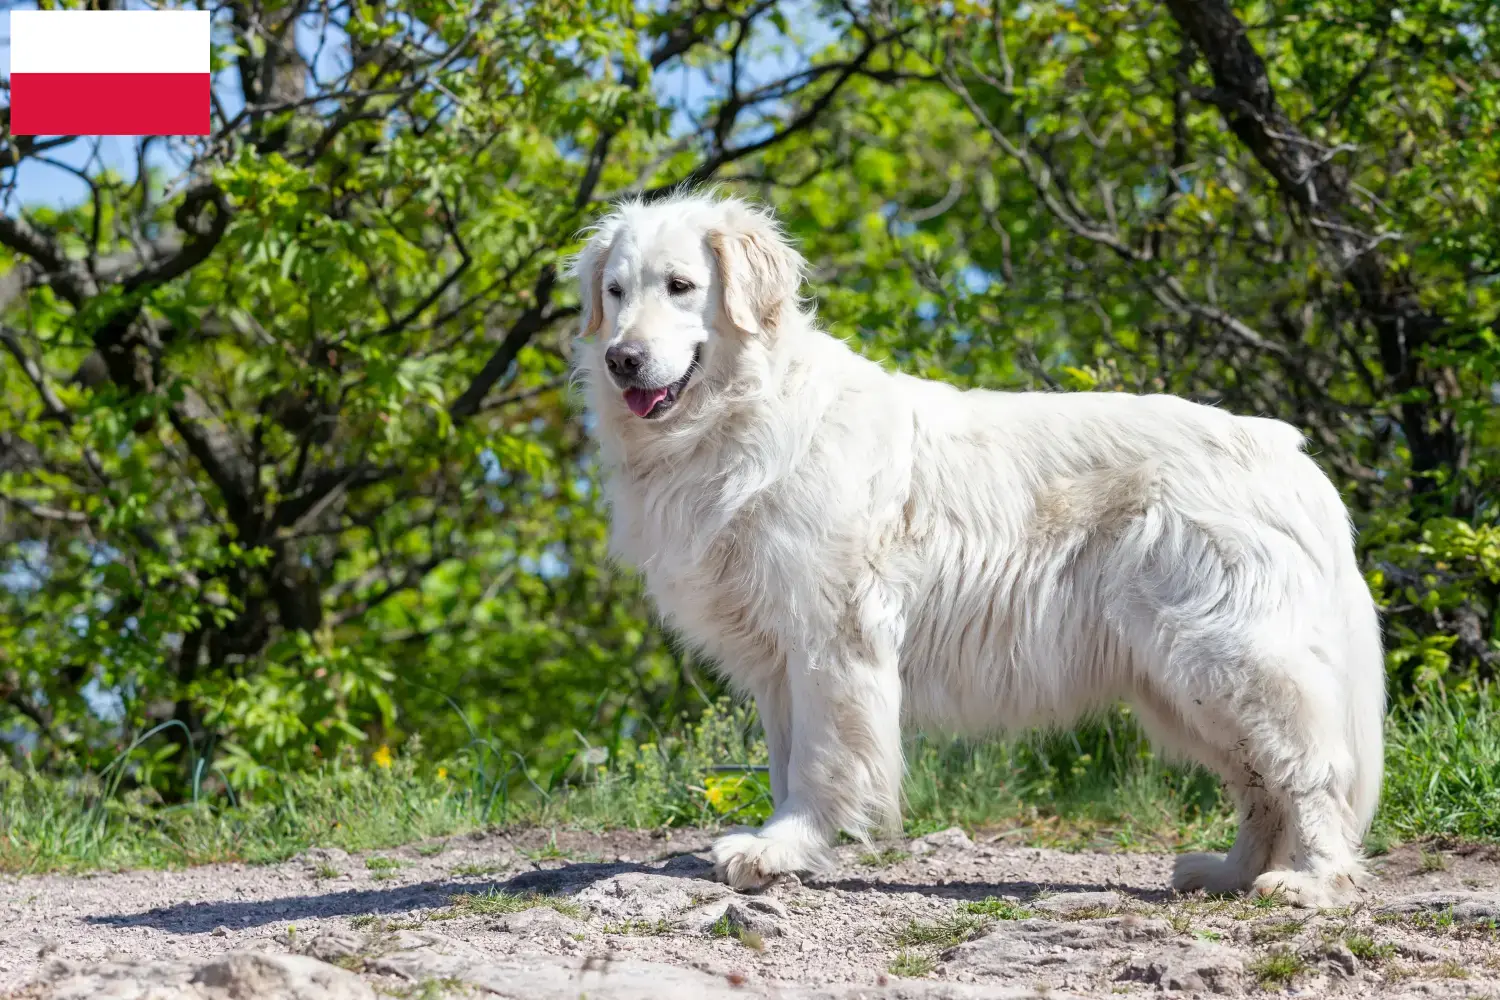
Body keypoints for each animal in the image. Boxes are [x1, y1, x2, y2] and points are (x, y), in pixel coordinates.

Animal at [570, 191, 1380, 911]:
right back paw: (1230, 874)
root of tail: (1291, 454)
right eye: (615, 291)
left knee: (1315, 771)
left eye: (681, 286)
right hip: (1184, 679)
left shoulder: (832, 639)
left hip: (1233, 658)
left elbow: (819, 763)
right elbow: (785, 759)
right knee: (1259, 784)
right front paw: (780, 850)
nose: (622, 359)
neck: (744, 414)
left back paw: (1311, 884)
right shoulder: (778, 660)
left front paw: (780, 847)